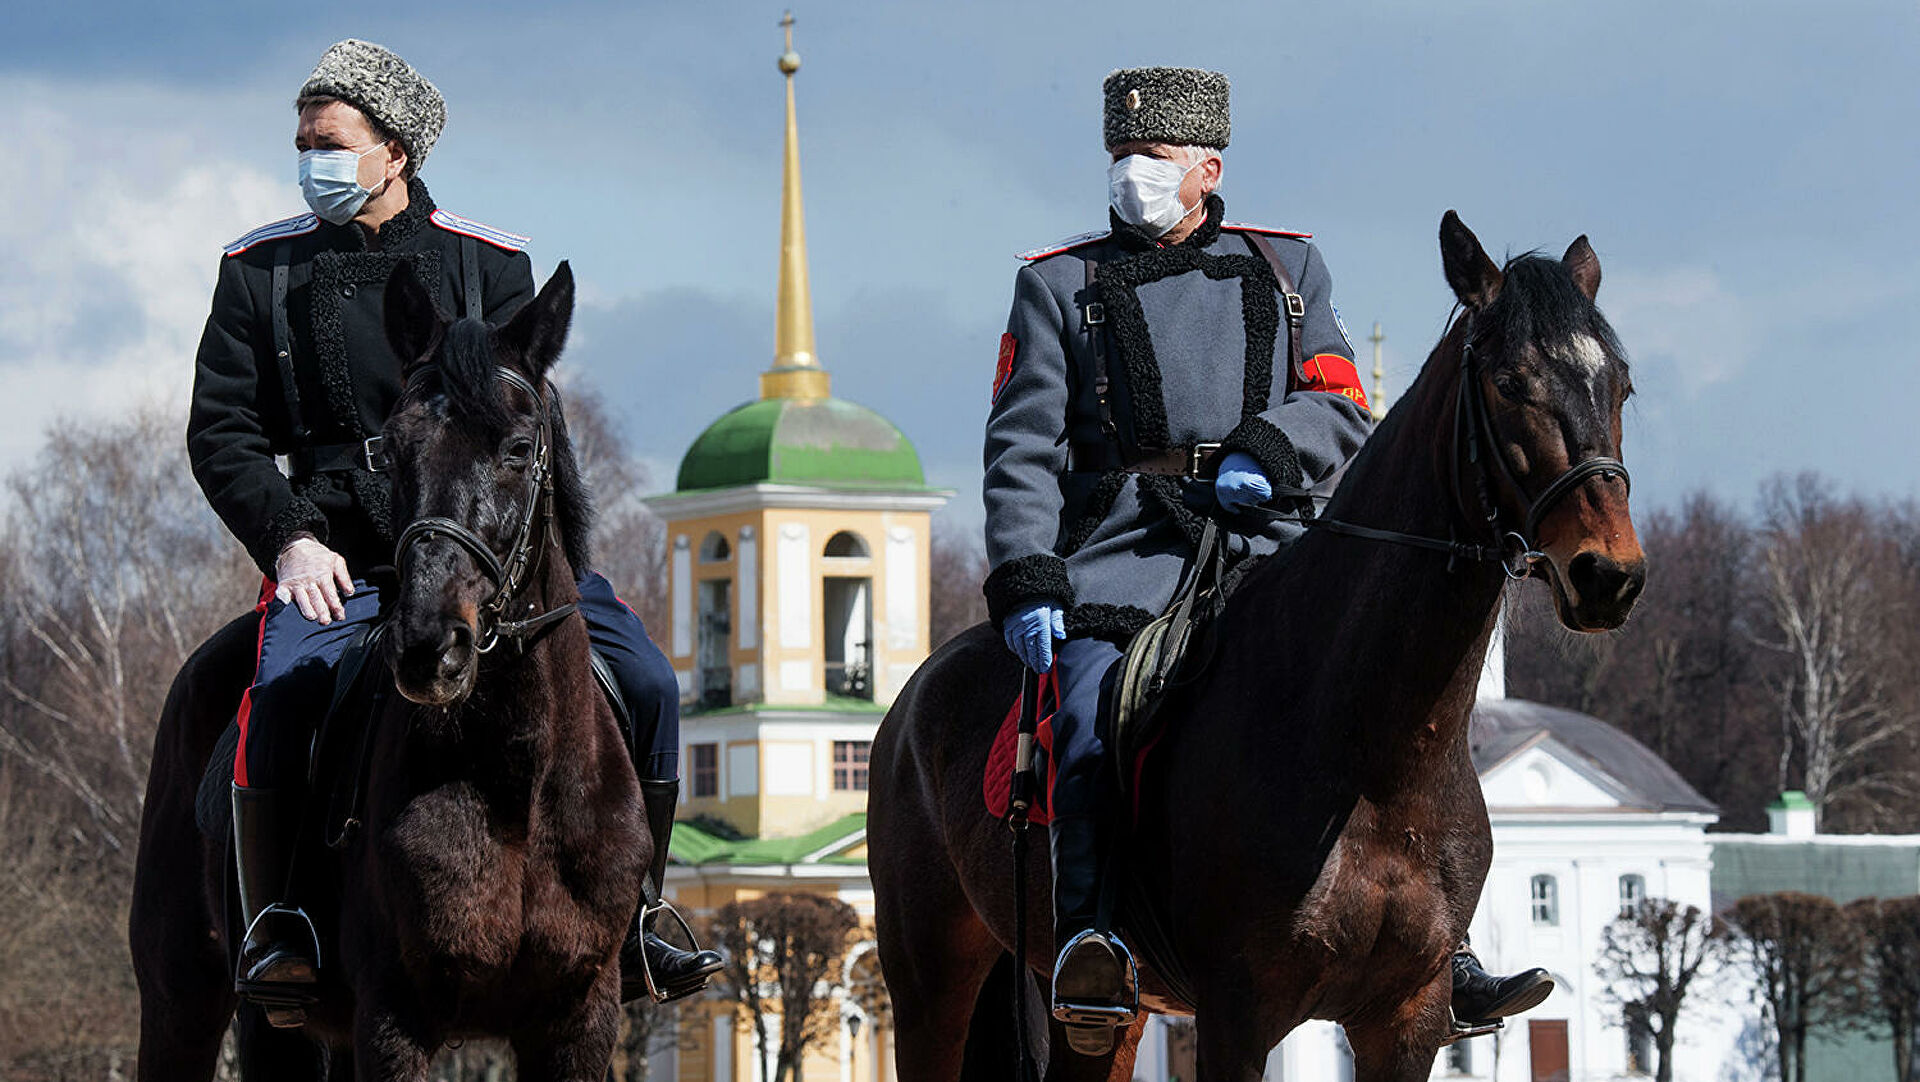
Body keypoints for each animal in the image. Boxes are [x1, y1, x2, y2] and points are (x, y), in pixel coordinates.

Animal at [133, 264, 652, 1082]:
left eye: (518, 446)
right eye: (394, 452)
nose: (428, 645)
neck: (517, 782)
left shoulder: (579, 1020)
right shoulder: (394, 1020)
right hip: (186, 998)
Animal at [864, 213, 1643, 1082]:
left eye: (1621, 386)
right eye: (1510, 382)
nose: (1608, 573)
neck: (1372, 754)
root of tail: (917, 694)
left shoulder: (1407, 1019)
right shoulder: (1239, 1014)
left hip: (1100, 1016)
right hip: (932, 987)